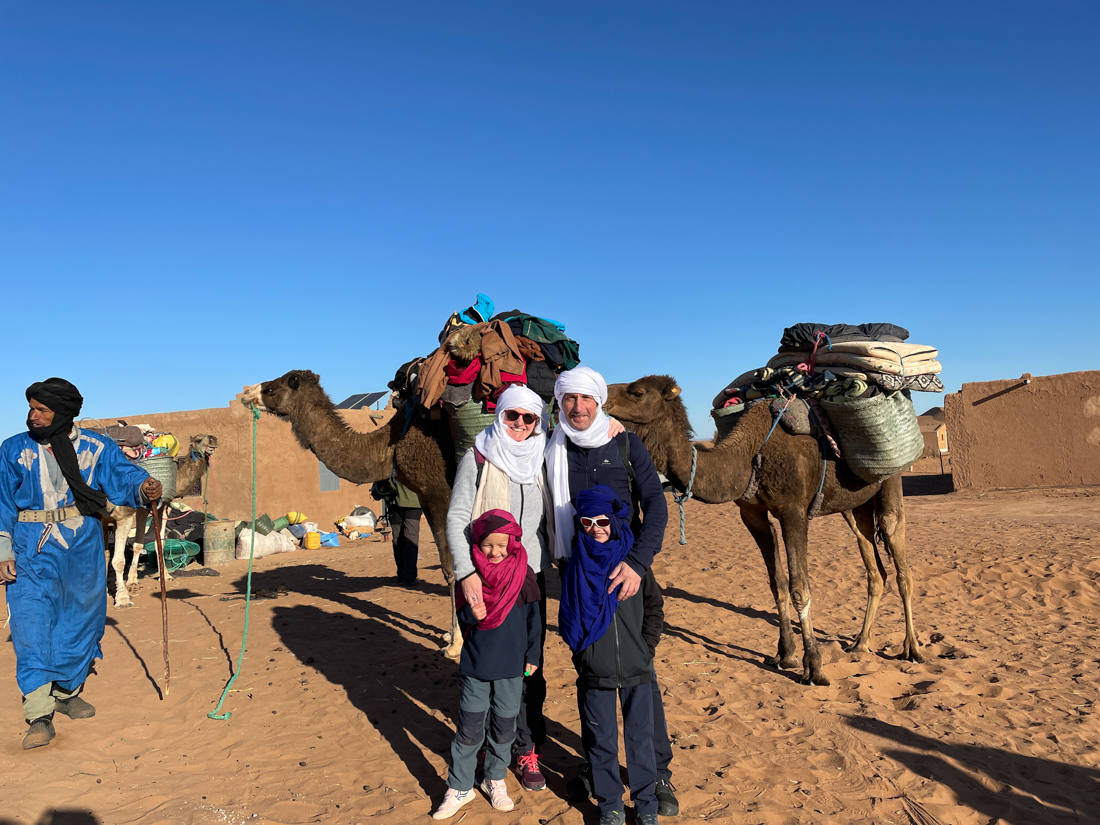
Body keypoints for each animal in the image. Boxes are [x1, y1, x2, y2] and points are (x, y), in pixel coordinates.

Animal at [106, 435, 217, 611]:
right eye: (199, 440)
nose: (213, 441)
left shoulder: (155, 507)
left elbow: (151, 544)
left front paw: (136, 580)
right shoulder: (153, 506)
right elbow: (147, 544)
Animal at [240, 374, 464, 660]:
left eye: (270, 389)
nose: (246, 393)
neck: (391, 445)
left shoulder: (437, 492)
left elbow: (450, 567)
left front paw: (455, 644)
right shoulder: (426, 496)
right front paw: (450, 635)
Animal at [602, 374, 919, 686]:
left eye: (637, 392)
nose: (602, 398)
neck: (749, 454)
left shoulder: (794, 511)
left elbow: (799, 588)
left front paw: (814, 667)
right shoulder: (752, 514)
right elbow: (777, 583)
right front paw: (785, 655)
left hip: (891, 482)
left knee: (900, 560)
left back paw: (912, 650)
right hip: (854, 505)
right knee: (875, 569)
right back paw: (860, 643)